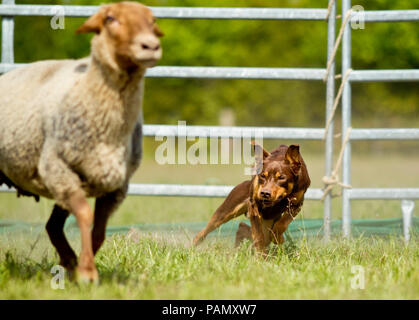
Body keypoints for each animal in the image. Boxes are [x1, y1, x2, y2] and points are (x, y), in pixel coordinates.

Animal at [0, 1, 164, 282]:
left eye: (152, 20)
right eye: (110, 19)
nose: (150, 46)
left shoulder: (115, 186)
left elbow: (98, 231)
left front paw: (81, 269)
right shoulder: (57, 169)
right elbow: (86, 218)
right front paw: (87, 273)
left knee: (52, 226)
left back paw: (68, 260)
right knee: (54, 225)